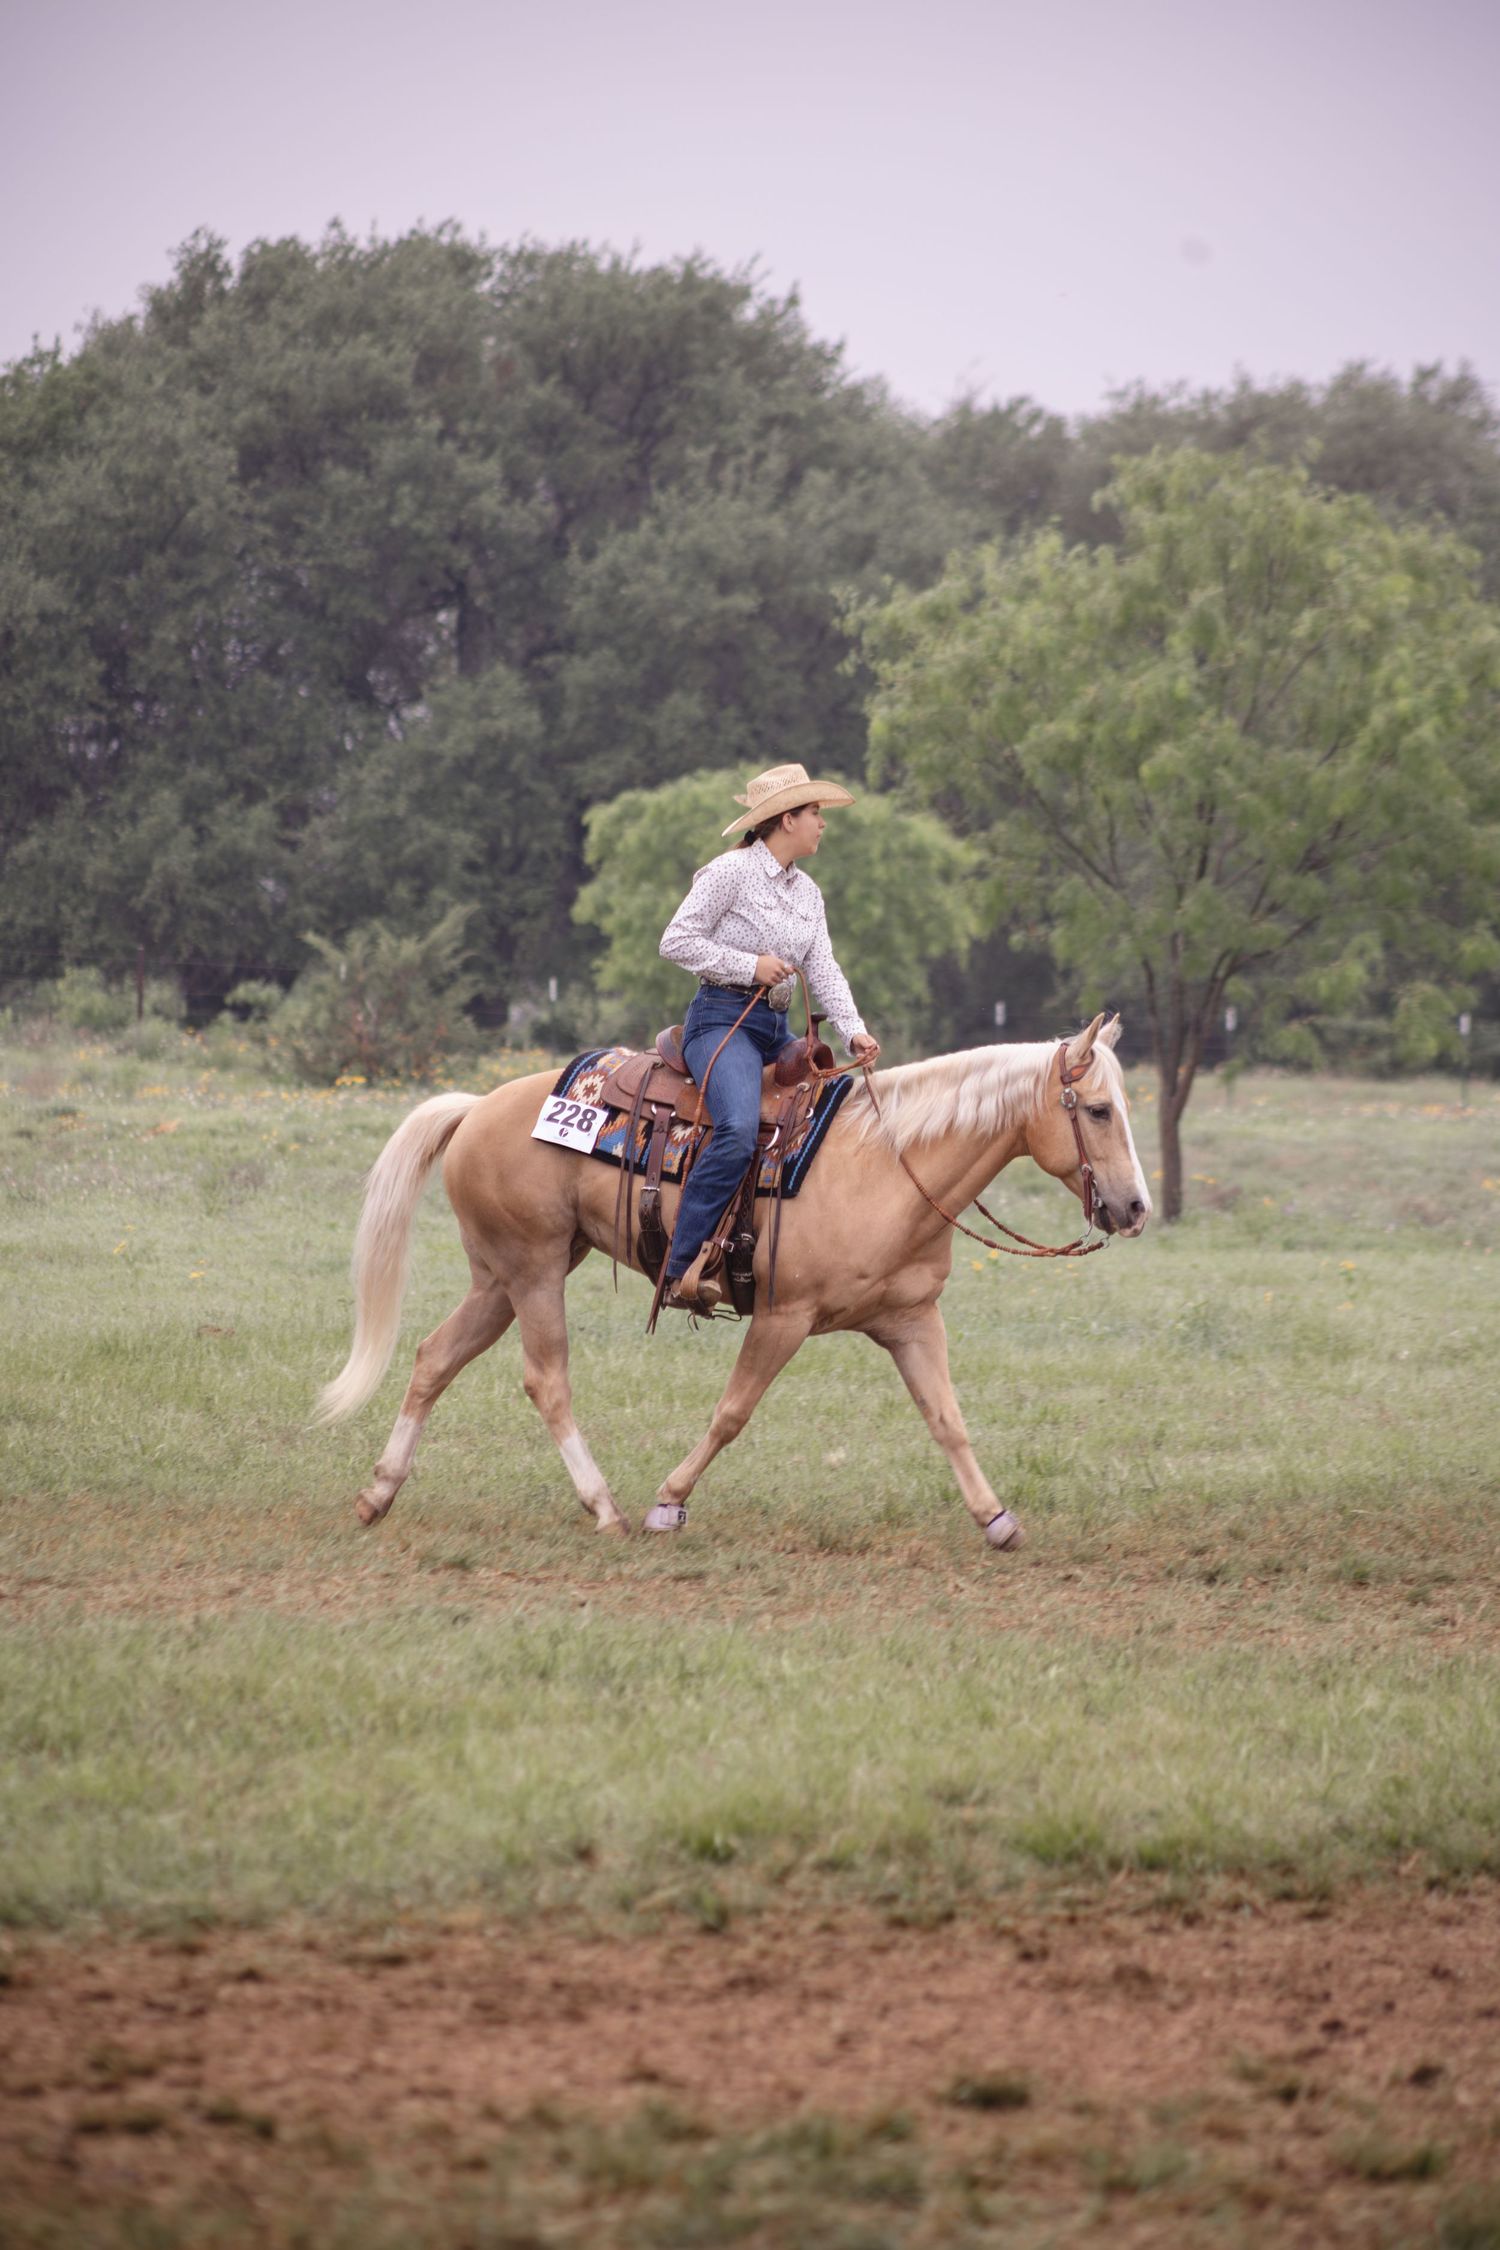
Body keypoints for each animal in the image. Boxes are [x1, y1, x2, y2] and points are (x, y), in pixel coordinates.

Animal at [315, 1012, 1151, 1550]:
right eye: (1098, 1111)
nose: (1136, 1206)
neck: (886, 1164)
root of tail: (476, 1108)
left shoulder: (911, 1320)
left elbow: (947, 1420)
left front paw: (995, 1519)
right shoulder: (784, 1318)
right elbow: (731, 1414)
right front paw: (667, 1503)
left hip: (499, 1278)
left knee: (433, 1358)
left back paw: (377, 1494)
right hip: (534, 1270)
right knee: (546, 1379)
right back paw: (606, 1508)